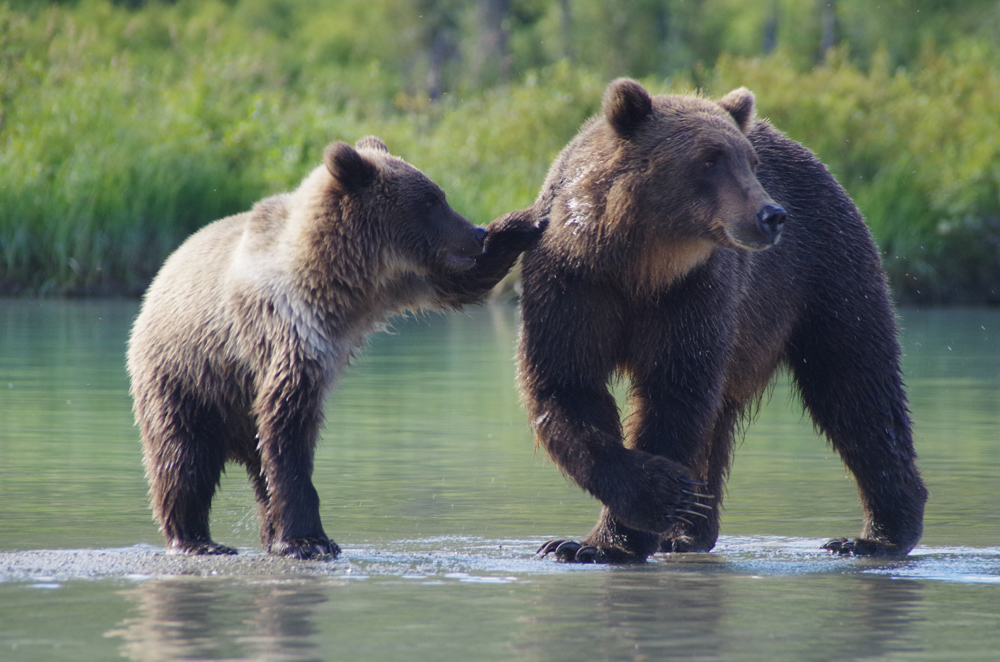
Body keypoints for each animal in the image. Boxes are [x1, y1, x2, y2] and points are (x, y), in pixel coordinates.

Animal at [129, 137, 544, 564]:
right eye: (432, 200)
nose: (477, 232)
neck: (341, 277)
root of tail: (157, 281)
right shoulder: (287, 328)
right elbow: (287, 425)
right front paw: (310, 540)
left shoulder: (403, 281)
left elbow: (465, 281)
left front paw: (528, 220)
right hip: (187, 376)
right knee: (184, 458)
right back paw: (198, 539)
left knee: (254, 468)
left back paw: (263, 533)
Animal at [524, 79, 928, 564]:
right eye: (709, 158)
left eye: (750, 163)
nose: (771, 215)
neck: (638, 264)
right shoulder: (573, 284)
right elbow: (567, 386)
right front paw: (614, 521)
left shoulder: (695, 292)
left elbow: (674, 393)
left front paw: (612, 539)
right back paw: (686, 533)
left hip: (827, 274)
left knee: (855, 386)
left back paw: (874, 536)